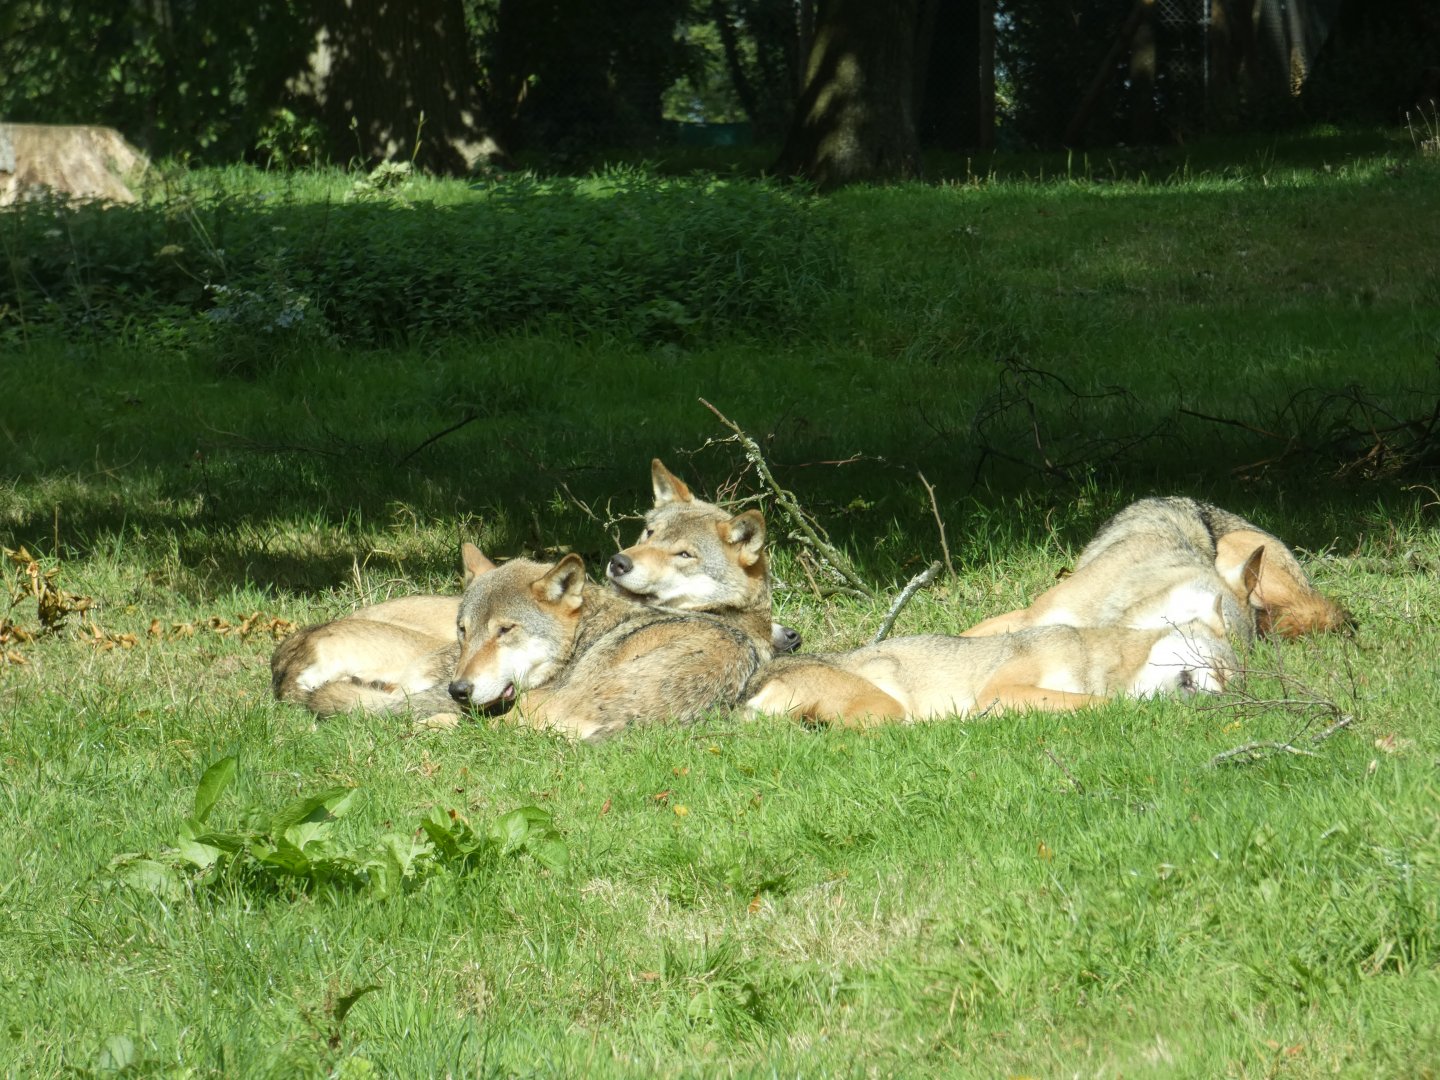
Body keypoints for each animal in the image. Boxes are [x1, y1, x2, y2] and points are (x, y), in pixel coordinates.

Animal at [747, 603, 1239, 728]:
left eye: (1234, 683)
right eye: (1222, 670)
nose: (1221, 699)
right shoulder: (1001, 692)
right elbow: (1094, 702)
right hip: (886, 710)